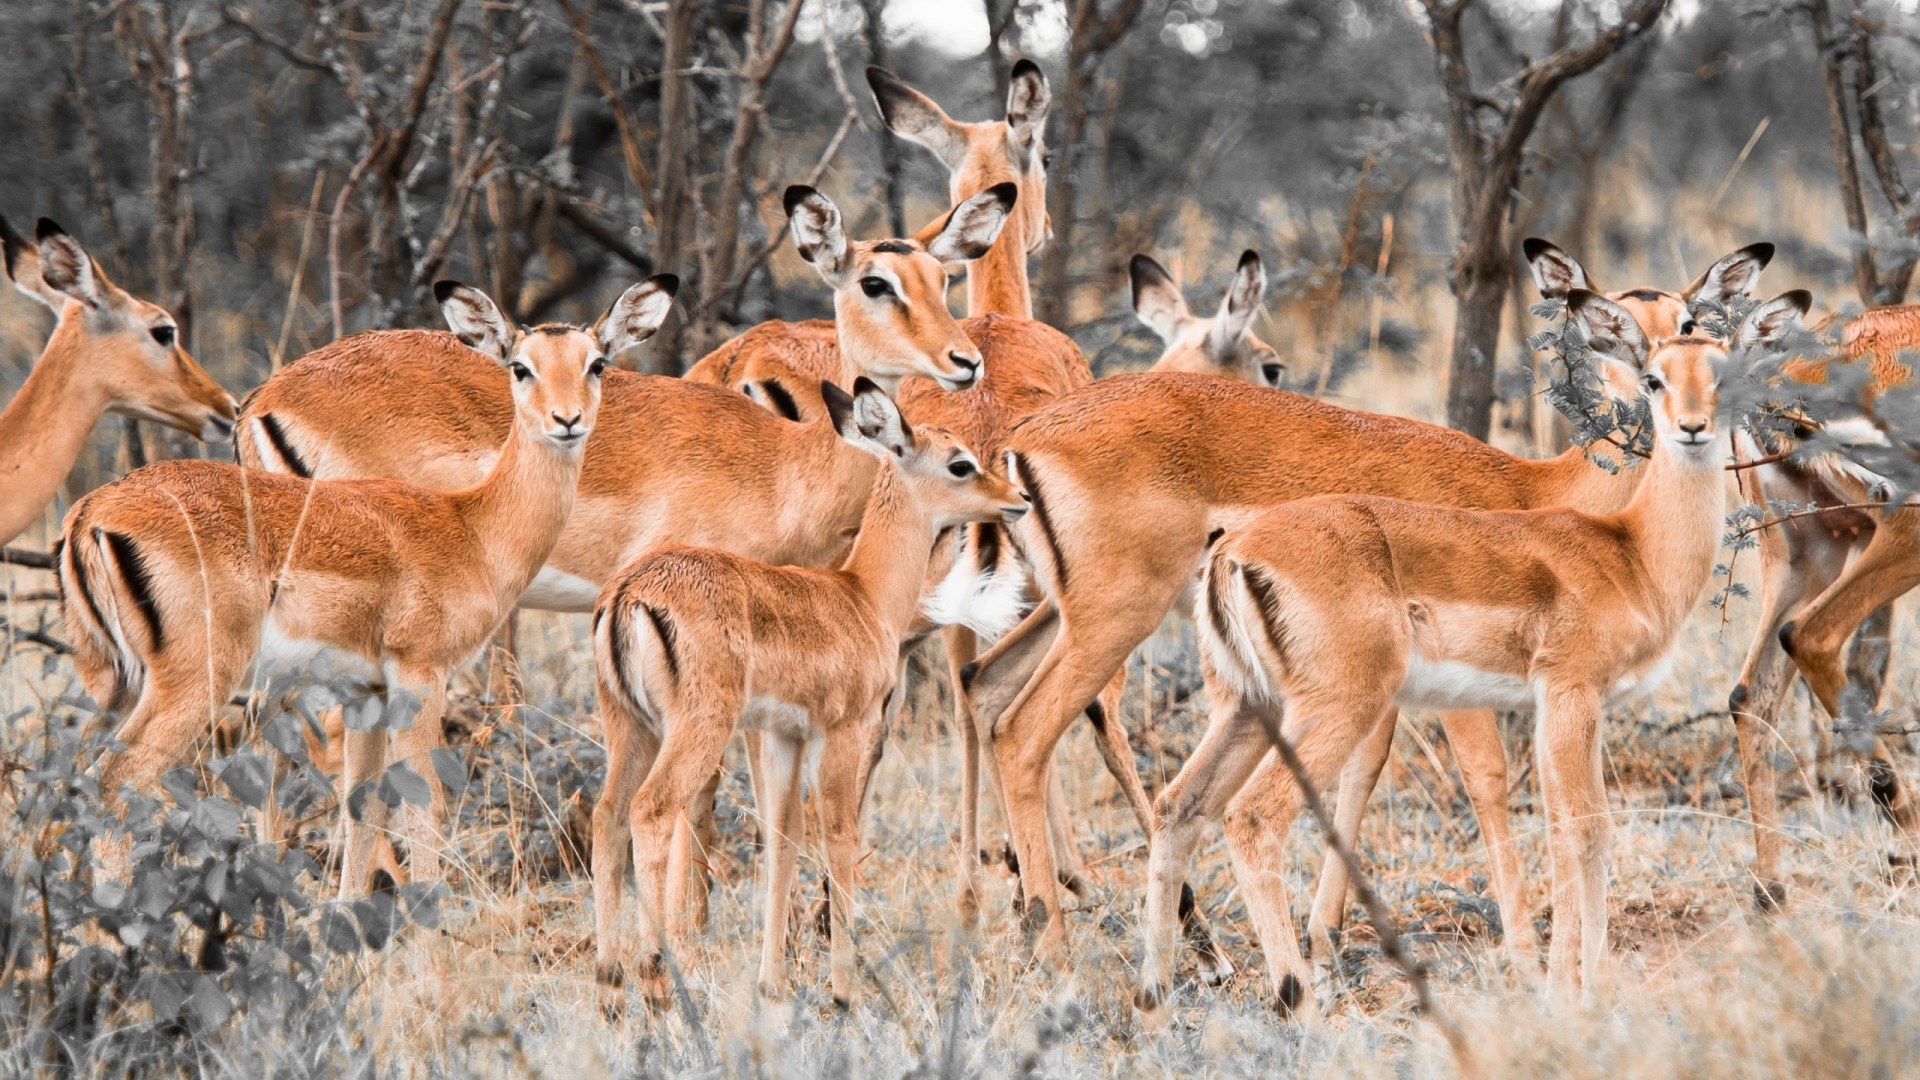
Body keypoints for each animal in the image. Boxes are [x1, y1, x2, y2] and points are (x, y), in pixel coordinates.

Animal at [59, 276, 676, 894]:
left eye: (596, 363)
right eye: (521, 367)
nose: (566, 420)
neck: (471, 527)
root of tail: (92, 511)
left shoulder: (366, 692)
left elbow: (363, 807)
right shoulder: (419, 674)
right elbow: (422, 804)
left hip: (116, 685)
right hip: (195, 681)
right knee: (113, 784)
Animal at [590, 378, 1027, 1008]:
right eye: (960, 463)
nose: (1018, 497)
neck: (863, 595)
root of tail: (630, 591)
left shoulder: (784, 737)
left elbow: (782, 837)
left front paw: (772, 983)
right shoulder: (842, 732)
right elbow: (840, 834)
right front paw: (844, 992)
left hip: (630, 727)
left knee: (606, 817)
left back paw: (608, 987)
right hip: (696, 730)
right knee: (651, 810)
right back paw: (655, 979)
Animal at [1139, 320, 1755, 1019]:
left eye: (1724, 372)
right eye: (1655, 377)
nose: (1692, 427)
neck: (1630, 554)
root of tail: (1235, 552)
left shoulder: (1563, 708)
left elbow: (1565, 829)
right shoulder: (1571, 692)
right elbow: (1586, 833)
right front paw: (1577, 992)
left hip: (1247, 708)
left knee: (1176, 808)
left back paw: (1154, 1005)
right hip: (1335, 707)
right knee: (1253, 817)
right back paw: (1302, 1006)